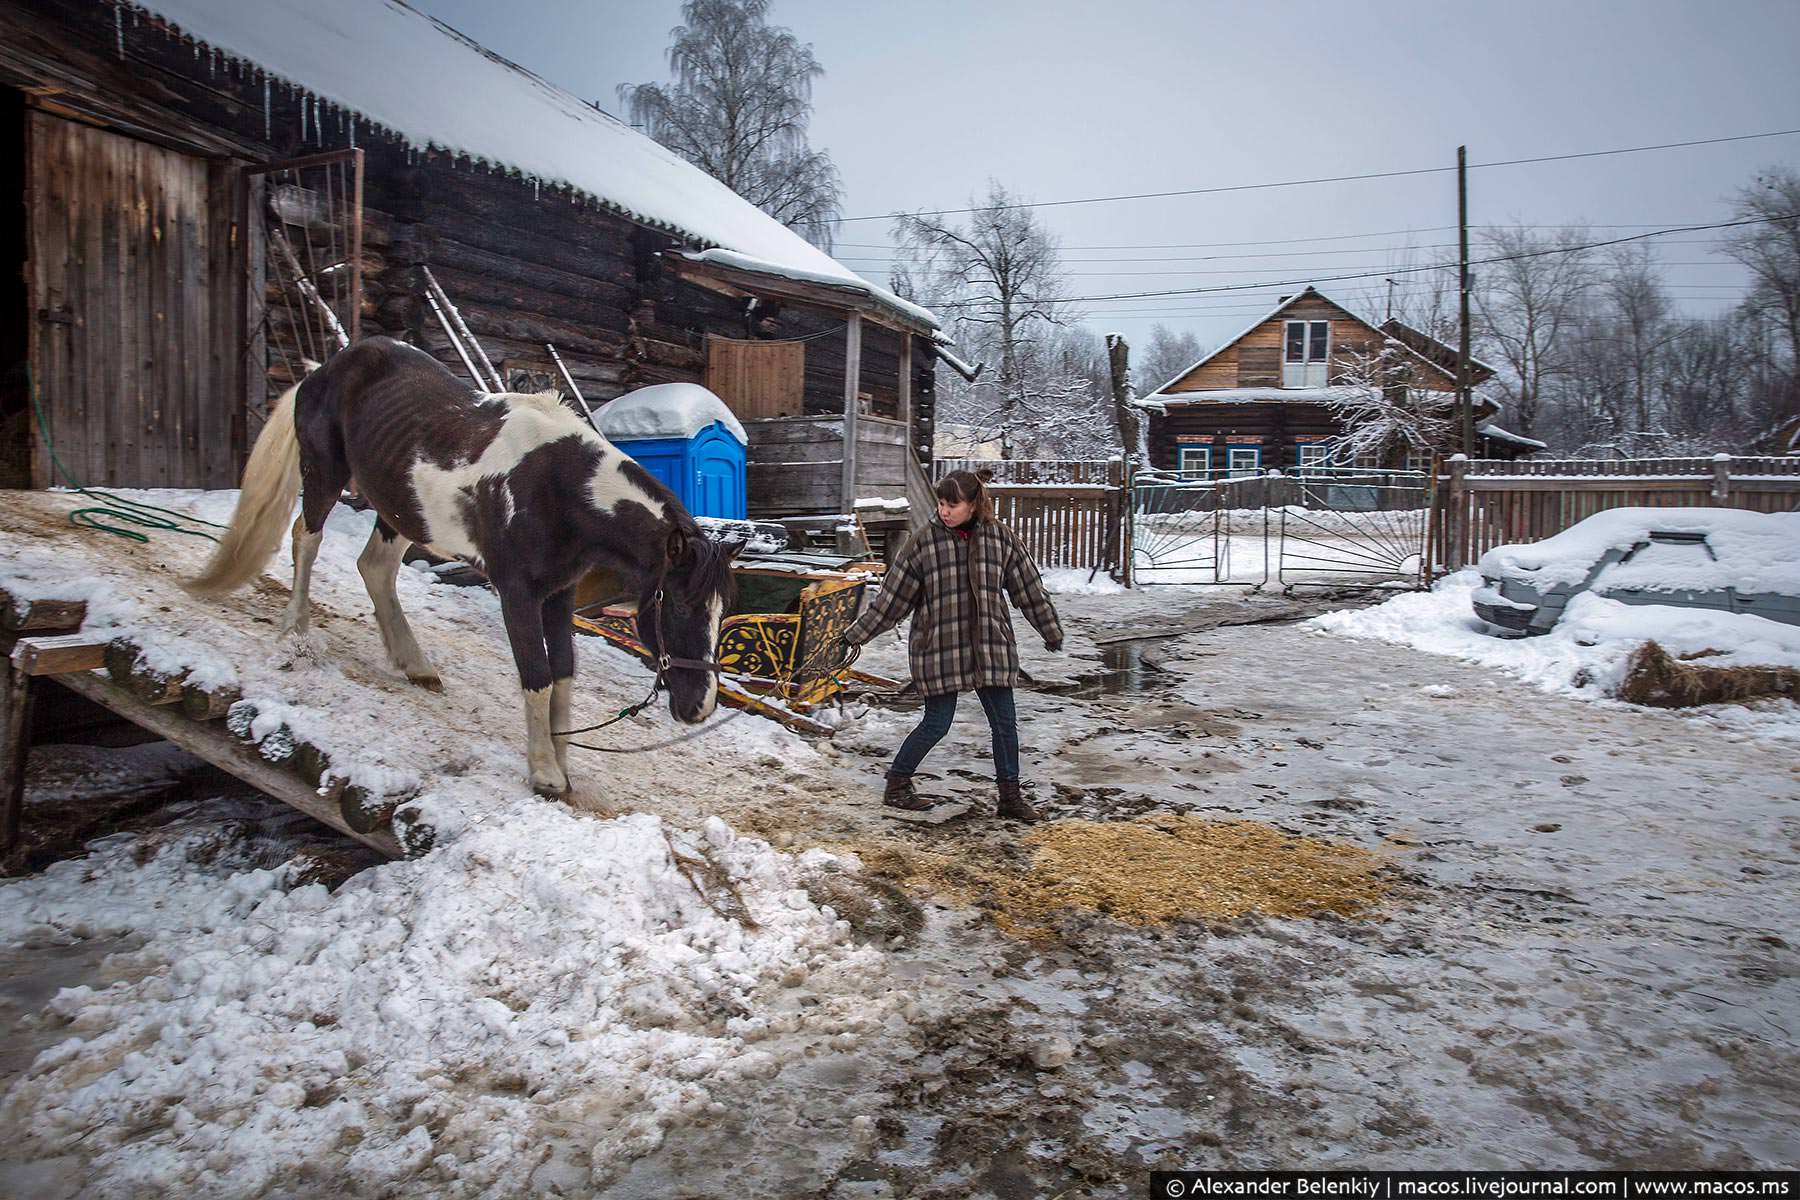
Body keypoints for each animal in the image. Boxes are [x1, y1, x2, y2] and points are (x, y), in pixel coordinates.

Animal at [184, 336, 738, 798]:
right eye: (679, 605)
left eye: (719, 612)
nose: (699, 707)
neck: (557, 487)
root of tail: (323, 369)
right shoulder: (516, 592)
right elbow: (537, 676)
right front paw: (543, 773)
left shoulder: (559, 593)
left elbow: (564, 674)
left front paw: (562, 767)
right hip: (324, 472)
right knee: (307, 539)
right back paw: (295, 632)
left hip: (399, 508)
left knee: (375, 568)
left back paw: (415, 664)